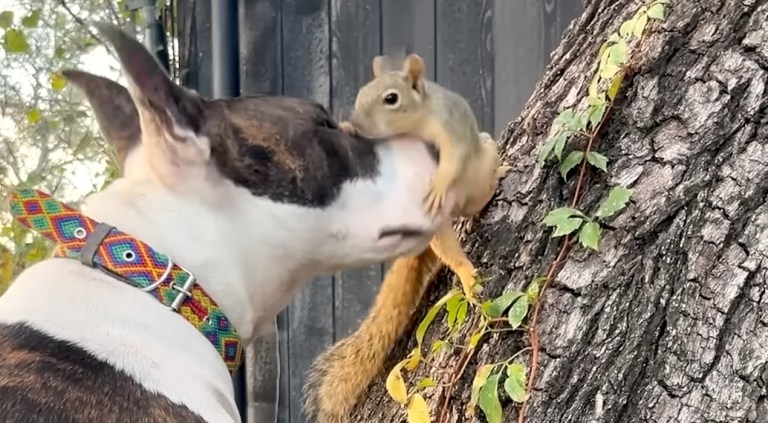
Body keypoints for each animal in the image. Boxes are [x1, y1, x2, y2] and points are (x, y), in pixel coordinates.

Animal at [338, 53, 509, 303]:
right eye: (361, 93)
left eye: (391, 98)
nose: (357, 124)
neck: (414, 125)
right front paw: (346, 128)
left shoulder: (448, 124)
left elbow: (453, 155)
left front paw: (438, 184)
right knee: (452, 254)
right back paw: (468, 276)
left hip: (481, 170)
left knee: (478, 199)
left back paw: (497, 177)